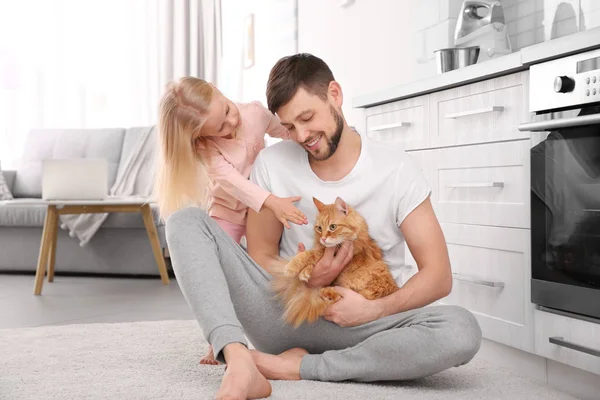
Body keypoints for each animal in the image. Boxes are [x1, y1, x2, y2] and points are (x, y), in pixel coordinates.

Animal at [272, 195, 398, 326]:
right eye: (319, 228)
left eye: (332, 227)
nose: (323, 238)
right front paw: (305, 272)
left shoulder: (330, 250)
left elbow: (308, 254)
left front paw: (292, 267)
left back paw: (327, 293)